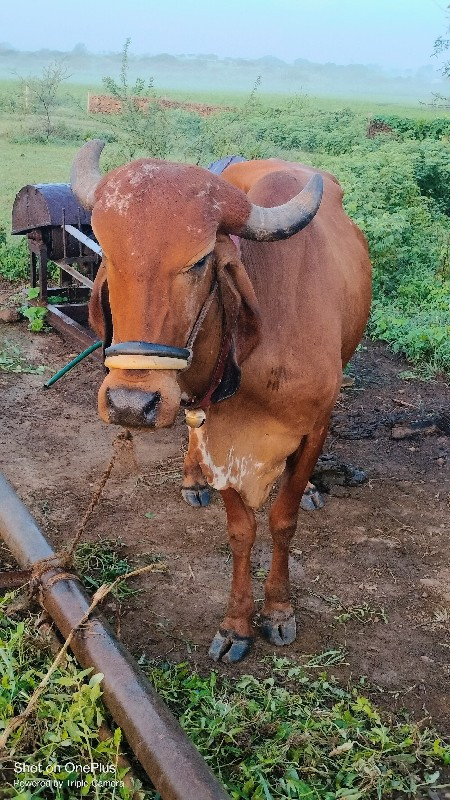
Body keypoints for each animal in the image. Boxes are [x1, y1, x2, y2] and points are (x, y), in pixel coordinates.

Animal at [72, 142, 370, 664]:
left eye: (200, 261)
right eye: (107, 251)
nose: (131, 403)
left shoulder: (314, 427)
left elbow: (282, 520)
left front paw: (278, 610)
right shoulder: (217, 437)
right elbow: (240, 530)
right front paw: (236, 624)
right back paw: (192, 480)